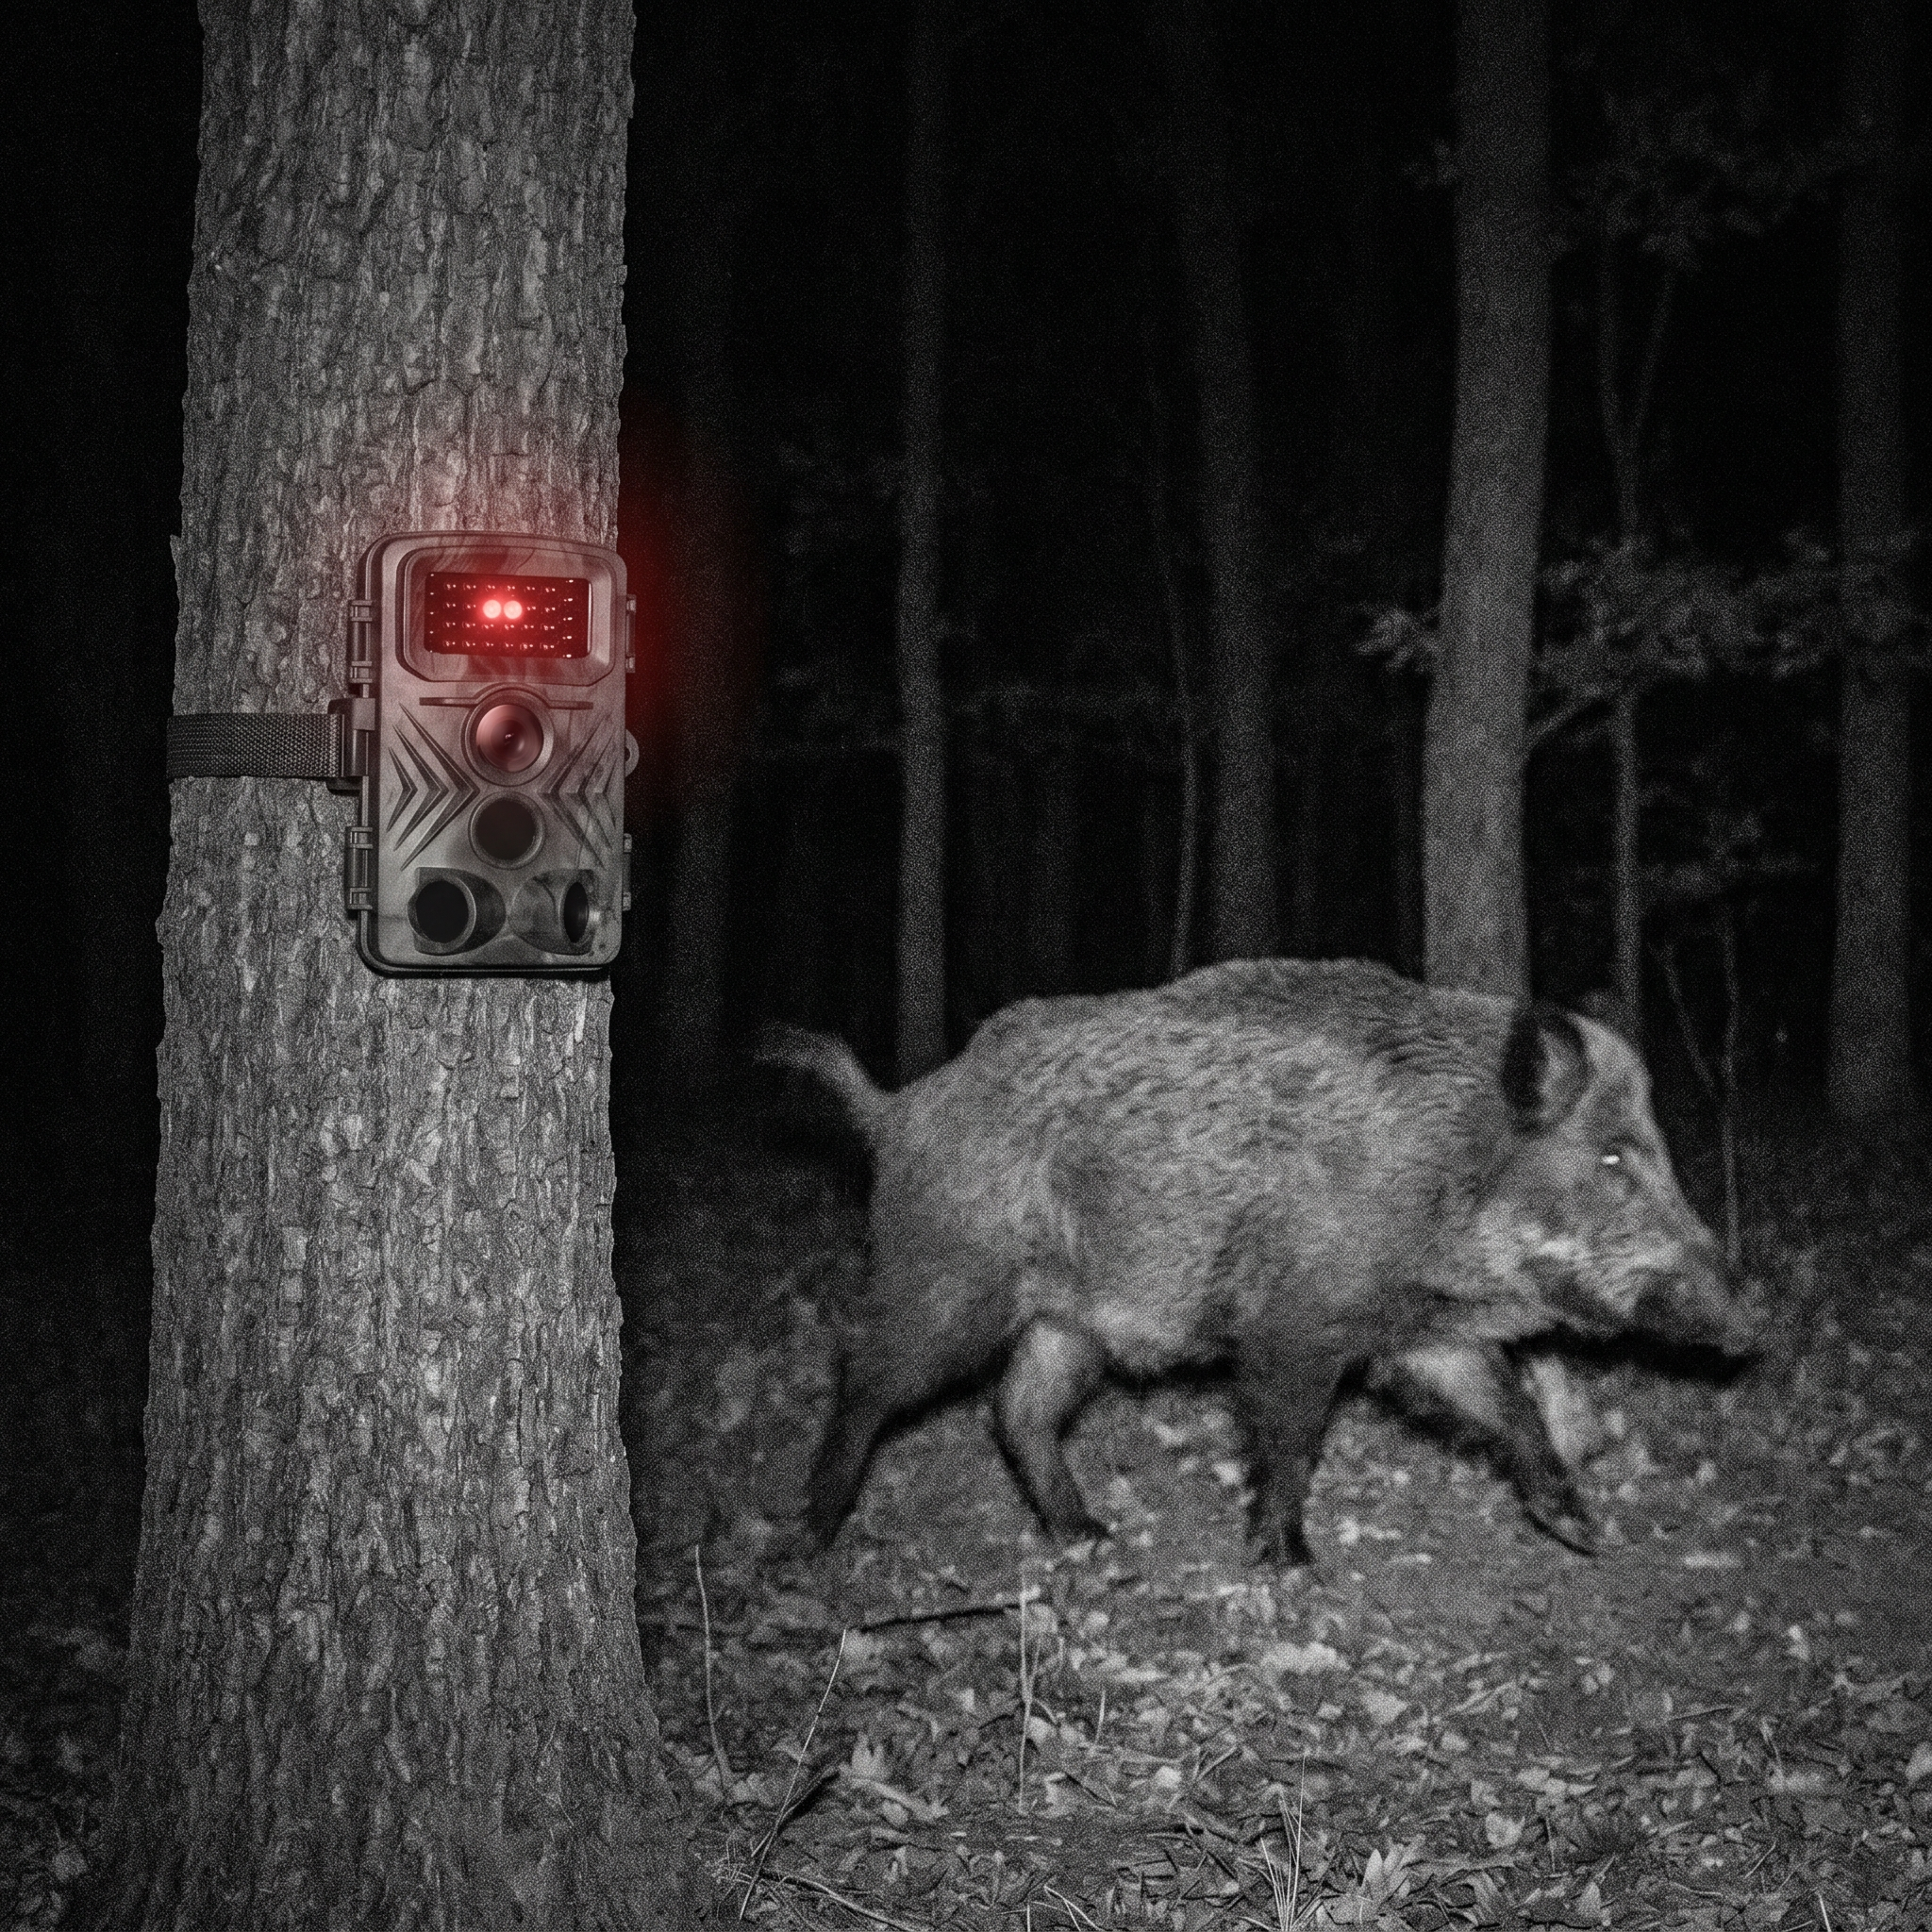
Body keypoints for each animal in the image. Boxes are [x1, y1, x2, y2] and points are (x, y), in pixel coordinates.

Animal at [764, 958, 1764, 1566]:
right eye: (1613, 1158)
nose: (1748, 1327)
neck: (1450, 1165)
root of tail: (895, 1110)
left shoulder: (1417, 1334)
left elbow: (1509, 1405)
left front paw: (1583, 1533)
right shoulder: (1296, 1320)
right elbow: (1291, 1437)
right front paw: (1291, 1564)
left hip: (1071, 1318)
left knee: (1017, 1410)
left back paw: (1091, 1536)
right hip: (949, 1275)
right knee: (870, 1372)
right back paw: (808, 1539)